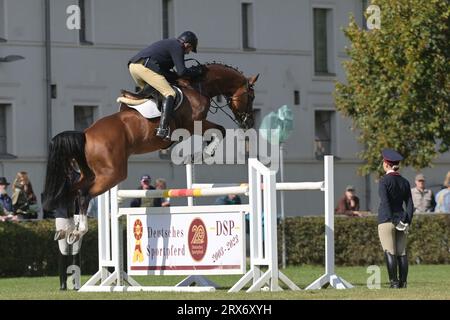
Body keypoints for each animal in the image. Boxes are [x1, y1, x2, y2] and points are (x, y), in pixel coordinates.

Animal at [42, 62, 260, 240]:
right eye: (251, 96)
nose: (248, 122)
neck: (198, 87)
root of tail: (86, 135)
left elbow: (217, 132)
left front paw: (201, 153)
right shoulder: (193, 124)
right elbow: (219, 130)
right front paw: (204, 153)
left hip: (90, 173)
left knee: (70, 191)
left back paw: (65, 229)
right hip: (112, 174)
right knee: (83, 195)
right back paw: (79, 231)